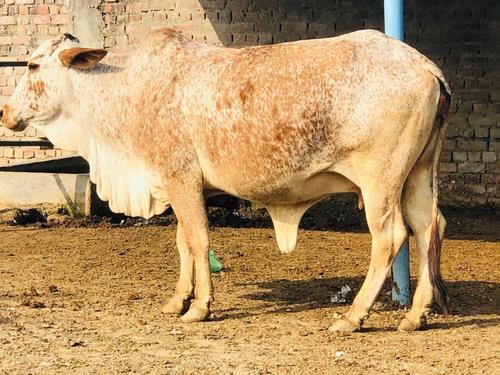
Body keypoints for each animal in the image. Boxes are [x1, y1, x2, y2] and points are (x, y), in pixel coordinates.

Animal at [0, 30, 454, 334]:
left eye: (33, 65)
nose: (6, 113)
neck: (126, 89)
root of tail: (424, 65)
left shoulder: (180, 176)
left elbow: (199, 239)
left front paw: (200, 306)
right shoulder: (180, 184)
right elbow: (183, 242)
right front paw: (177, 299)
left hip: (380, 179)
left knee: (390, 236)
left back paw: (353, 315)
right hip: (415, 175)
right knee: (429, 226)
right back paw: (416, 315)